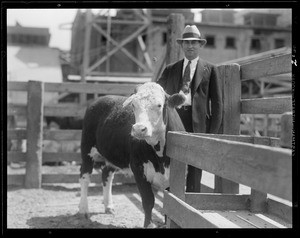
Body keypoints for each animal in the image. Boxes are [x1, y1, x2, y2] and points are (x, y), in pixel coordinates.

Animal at [77, 82, 185, 228]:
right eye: (133, 105)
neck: (160, 156)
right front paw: (148, 225)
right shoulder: (138, 169)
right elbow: (148, 201)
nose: (139, 129)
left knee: (106, 175)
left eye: (159, 105)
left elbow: (170, 207)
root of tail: (101, 98)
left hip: (111, 156)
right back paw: (83, 209)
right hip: (87, 149)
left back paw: (108, 206)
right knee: (85, 176)